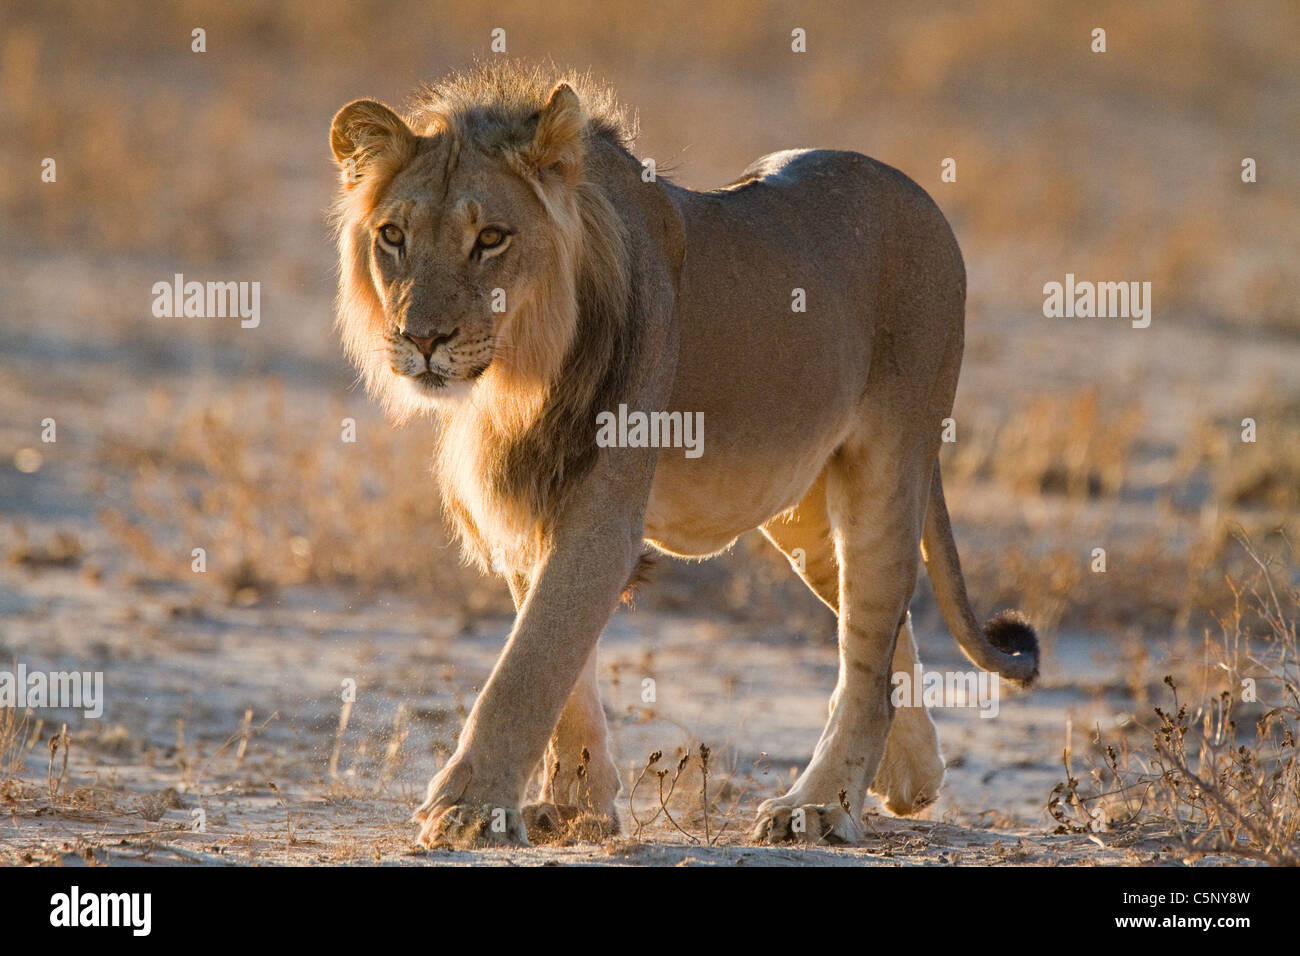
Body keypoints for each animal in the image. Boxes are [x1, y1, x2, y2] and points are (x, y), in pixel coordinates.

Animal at [330, 63, 1040, 848]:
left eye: (490, 238)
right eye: (392, 235)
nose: (421, 339)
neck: (516, 375)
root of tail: (918, 194)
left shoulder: (601, 512)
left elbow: (530, 664)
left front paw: (468, 808)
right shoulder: (525, 509)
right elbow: (563, 672)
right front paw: (575, 807)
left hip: (888, 464)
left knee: (872, 650)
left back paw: (817, 807)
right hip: (800, 511)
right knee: (882, 633)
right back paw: (910, 779)